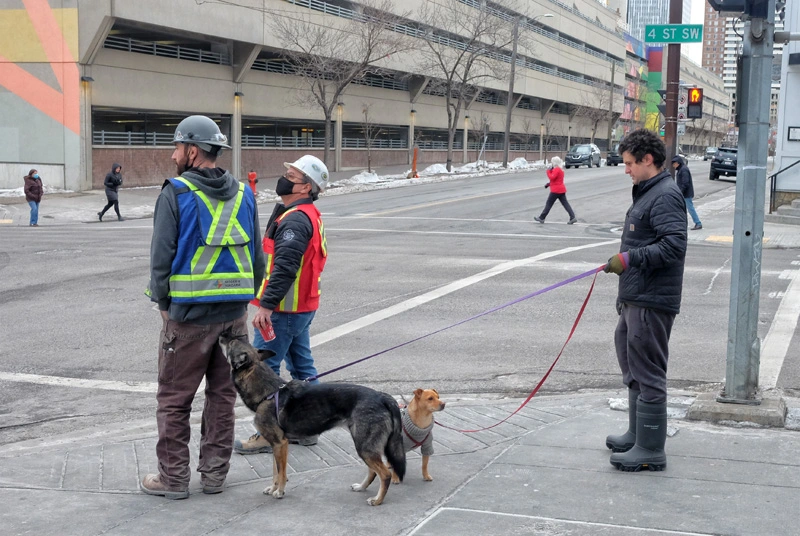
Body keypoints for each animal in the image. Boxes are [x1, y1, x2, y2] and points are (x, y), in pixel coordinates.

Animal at [219, 336, 406, 506]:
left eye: (231, 343)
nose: (221, 335)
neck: (269, 393)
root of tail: (382, 397)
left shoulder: (280, 444)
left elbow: (281, 472)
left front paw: (279, 491)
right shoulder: (275, 446)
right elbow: (275, 472)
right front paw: (273, 488)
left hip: (365, 447)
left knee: (385, 474)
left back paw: (378, 500)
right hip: (365, 447)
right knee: (373, 471)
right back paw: (361, 487)